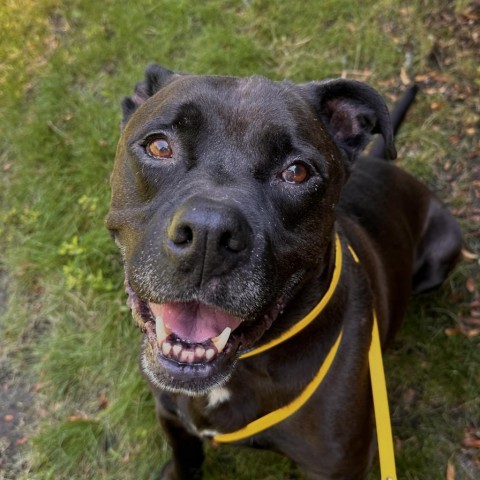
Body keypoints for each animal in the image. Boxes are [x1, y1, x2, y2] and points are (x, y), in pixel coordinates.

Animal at [105, 64, 462, 480]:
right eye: (160, 147)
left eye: (297, 172)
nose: (209, 235)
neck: (241, 369)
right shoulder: (173, 417)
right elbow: (185, 457)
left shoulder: (338, 466)